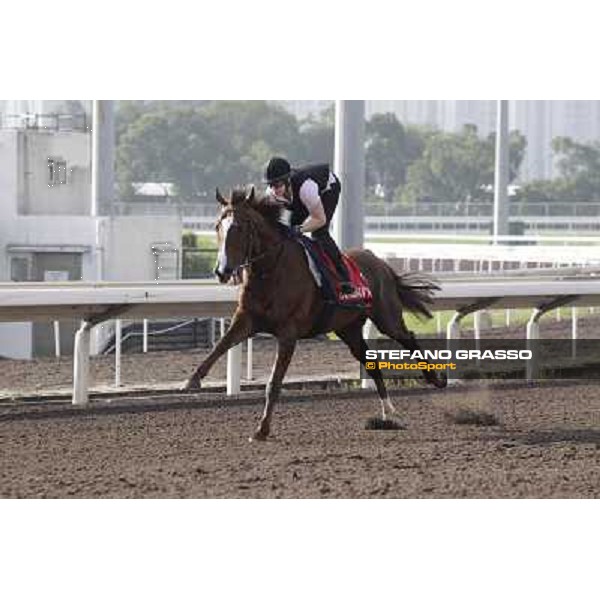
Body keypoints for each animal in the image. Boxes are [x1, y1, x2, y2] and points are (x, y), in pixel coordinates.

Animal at [183, 188, 446, 440]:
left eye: (238, 227)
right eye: (217, 226)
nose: (222, 271)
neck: (271, 270)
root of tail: (381, 263)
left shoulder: (288, 333)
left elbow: (273, 383)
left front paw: (262, 429)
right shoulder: (245, 319)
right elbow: (220, 346)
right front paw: (192, 381)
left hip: (386, 317)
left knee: (408, 337)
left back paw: (435, 379)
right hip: (348, 329)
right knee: (370, 361)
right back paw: (389, 414)